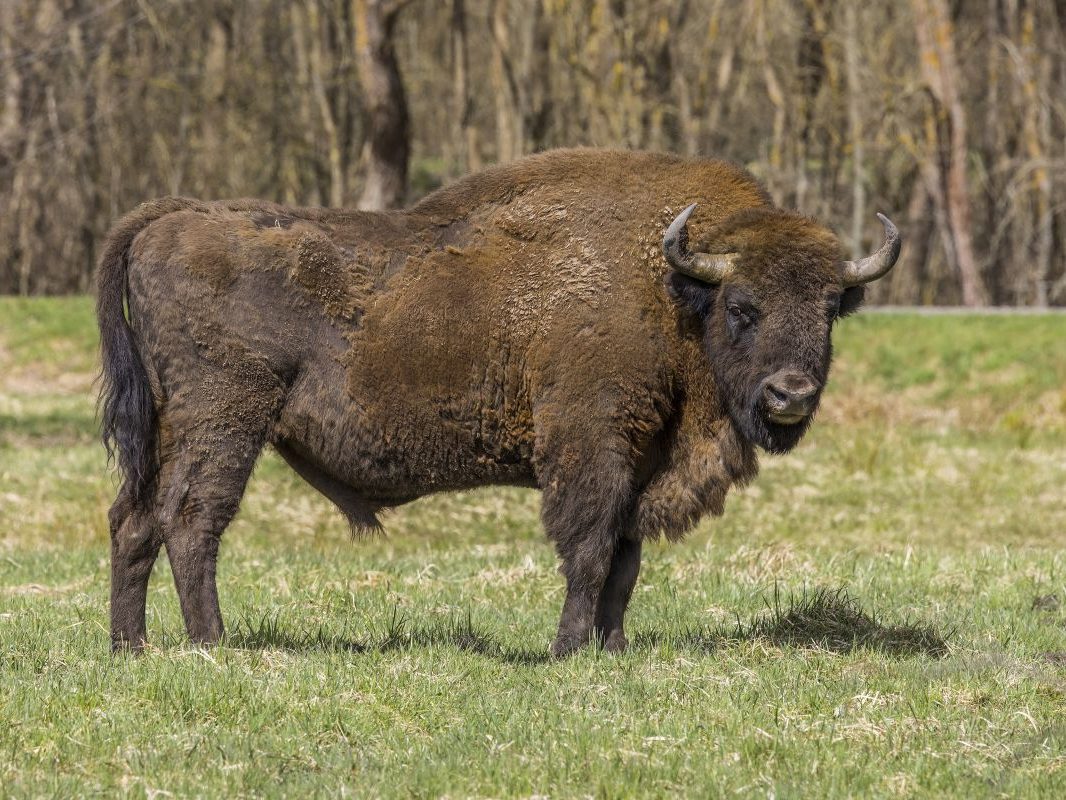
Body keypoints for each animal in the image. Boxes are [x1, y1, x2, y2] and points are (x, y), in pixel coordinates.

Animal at [98, 148, 900, 656]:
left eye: (831, 307)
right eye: (742, 307)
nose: (791, 394)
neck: (670, 288)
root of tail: (173, 217)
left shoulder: (641, 462)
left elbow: (625, 562)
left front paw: (613, 650)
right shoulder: (592, 448)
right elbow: (589, 551)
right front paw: (568, 650)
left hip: (169, 428)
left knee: (134, 521)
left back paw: (130, 647)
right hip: (224, 423)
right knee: (191, 521)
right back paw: (212, 644)